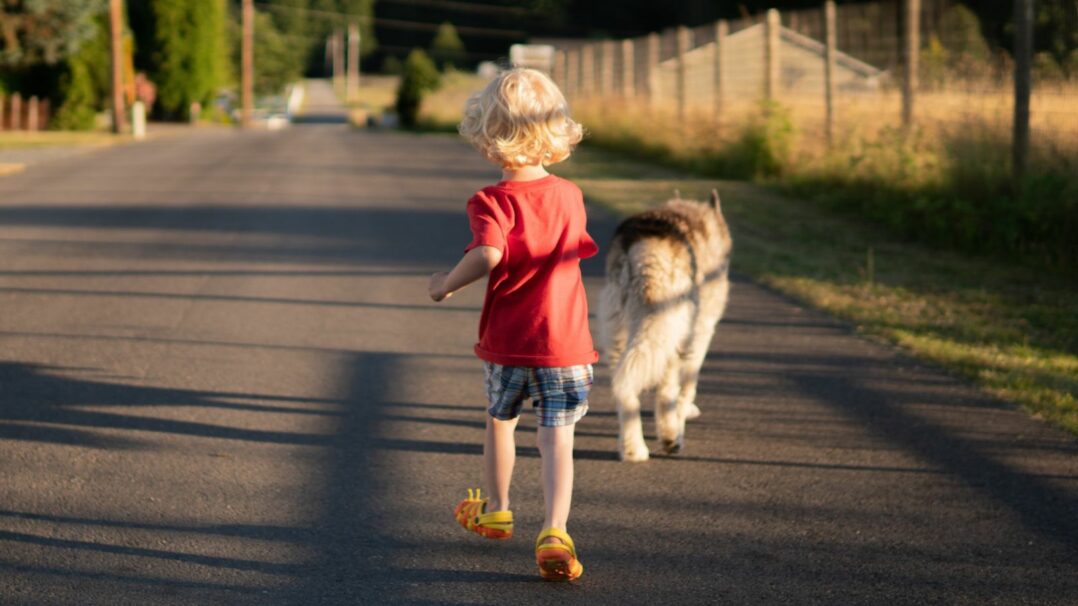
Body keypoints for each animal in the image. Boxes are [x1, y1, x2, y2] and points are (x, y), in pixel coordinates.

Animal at [599, 190, 733, 459]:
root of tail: (644, 246)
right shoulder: (701, 331)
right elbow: (688, 384)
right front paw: (685, 413)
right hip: (670, 331)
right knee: (666, 391)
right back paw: (671, 436)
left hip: (620, 332)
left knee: (624, 388)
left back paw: (633, 449)